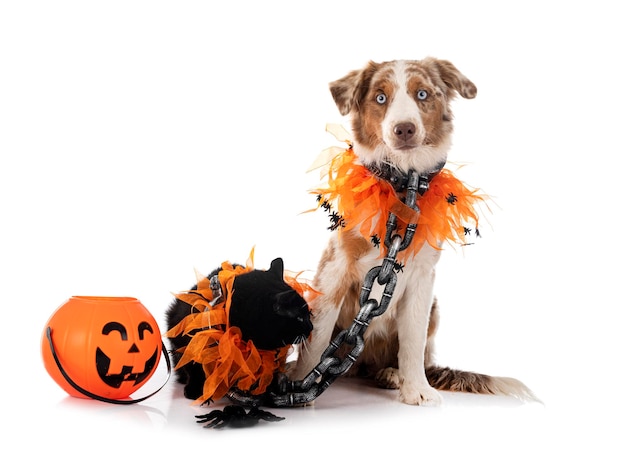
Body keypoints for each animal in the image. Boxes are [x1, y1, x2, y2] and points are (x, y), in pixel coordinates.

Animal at [166, 256, 312, 400]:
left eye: (308, 315)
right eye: (300, 318)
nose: (311, 327)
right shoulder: (185, 340)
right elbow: (193, 366)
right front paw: (195, 389)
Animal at [290, 56, 532, 406]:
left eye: (422, 94)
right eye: (380, 98)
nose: (404, 128)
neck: (403, 189)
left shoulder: (422, 278)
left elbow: (413, 340)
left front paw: (416, 389)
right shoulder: (334, 267)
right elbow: (318, 336)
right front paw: (297, 384)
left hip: (435, 309)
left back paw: (391, 374)